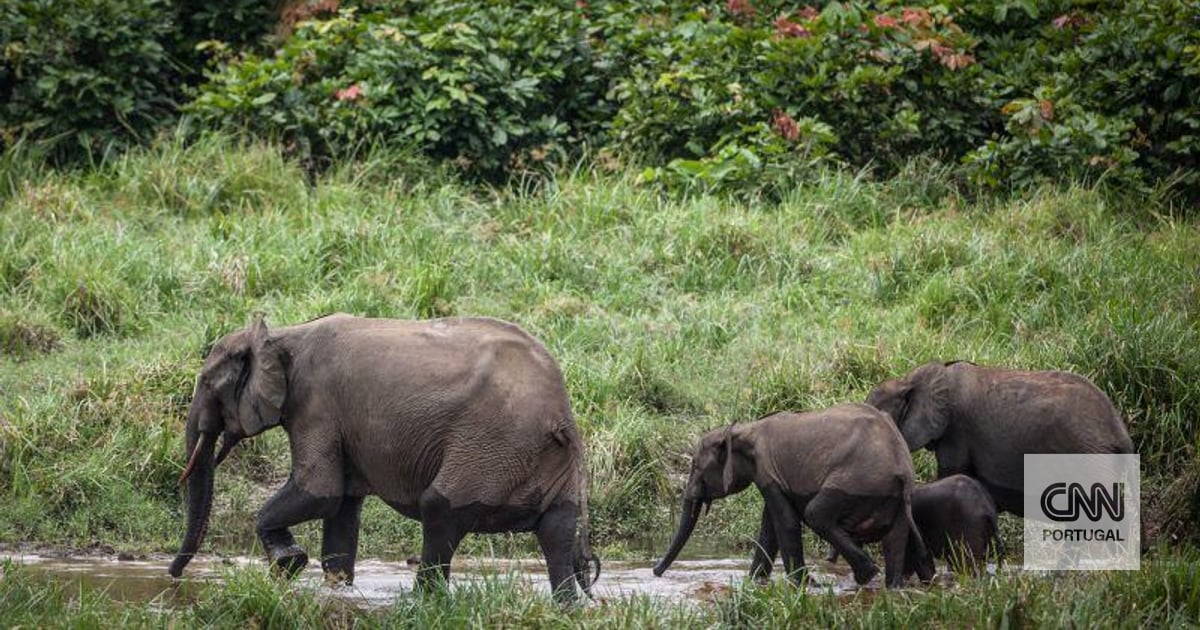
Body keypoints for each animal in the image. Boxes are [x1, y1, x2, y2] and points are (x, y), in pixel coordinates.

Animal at [168, 313, 599, 602]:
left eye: (207, 384)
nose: (173, 576)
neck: (280, 335)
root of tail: (561, 414)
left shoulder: (316, 405)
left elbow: (319, 493)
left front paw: (289, 562)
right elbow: (341, 510)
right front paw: (336, 592)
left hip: (491, 445)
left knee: (440, 509)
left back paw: (421, 601)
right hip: (539, 456)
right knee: (557, 528)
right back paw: (568, 607)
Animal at [653, 404, 933, 589]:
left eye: (696, 467)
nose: (655, 571)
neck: (743, 429)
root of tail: (902, 466)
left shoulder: (767, 469)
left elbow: (785, 522)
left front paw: (803, 586)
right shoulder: (769, 477)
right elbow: (769, 528)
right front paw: (754, 583)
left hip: (859, 481)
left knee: (816, 514)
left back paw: (867, 574)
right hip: (892, 495)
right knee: (895, 536)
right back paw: (892, 587)